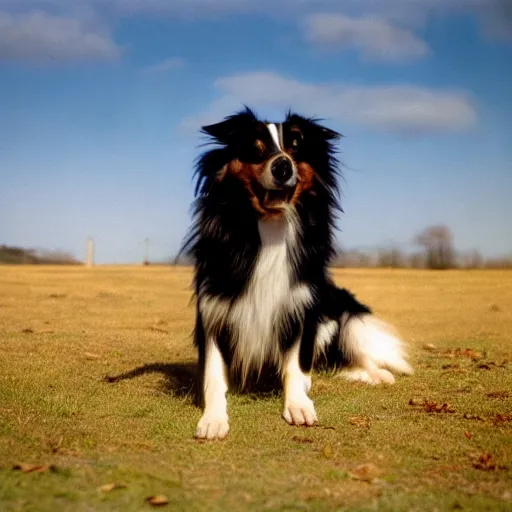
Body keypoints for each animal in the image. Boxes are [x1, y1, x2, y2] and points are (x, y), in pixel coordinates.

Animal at [180, 108, 412, 440]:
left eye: (296, 147)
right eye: (255, 149)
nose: (282, 166)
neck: (270, 225)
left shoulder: (301, 305)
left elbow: (295, 364)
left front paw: (298, 404)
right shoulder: (214, 308)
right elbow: (213, 374)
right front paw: (213, 418)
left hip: (341, 314)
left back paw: (376, 373)